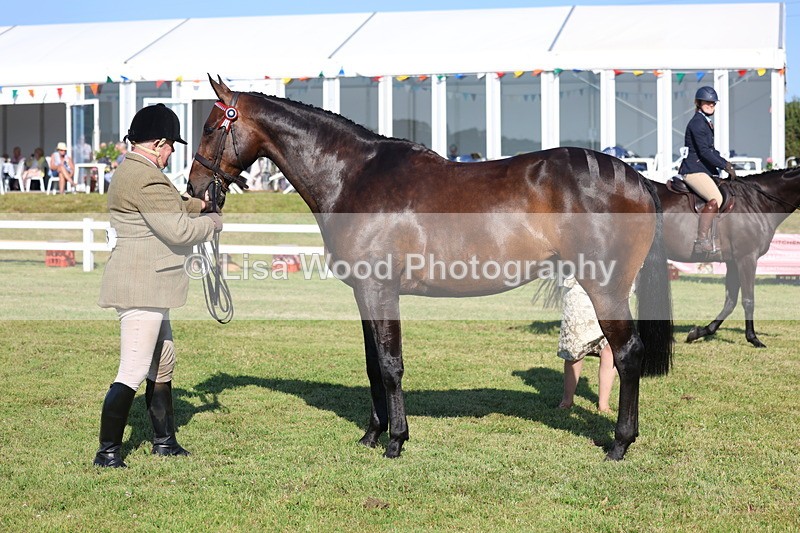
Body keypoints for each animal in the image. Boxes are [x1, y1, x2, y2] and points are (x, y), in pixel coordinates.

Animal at [188, 76, 673, 461]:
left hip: (605, 288)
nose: (195, 189)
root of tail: (637, 178)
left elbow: (390, 364)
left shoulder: (380, 289)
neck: (353, 176)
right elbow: (372, 365)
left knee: (628, 353)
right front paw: (371, 434)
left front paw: (396, 441)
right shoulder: (363, 294)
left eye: (210, 128)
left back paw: (619, 444)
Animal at [655, 167, 800, 347]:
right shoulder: (747, 258)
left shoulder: (733, 262)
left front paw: (699, 332)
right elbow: (748, 300)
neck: (756, 202)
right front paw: (753, 338)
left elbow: (730, 302)